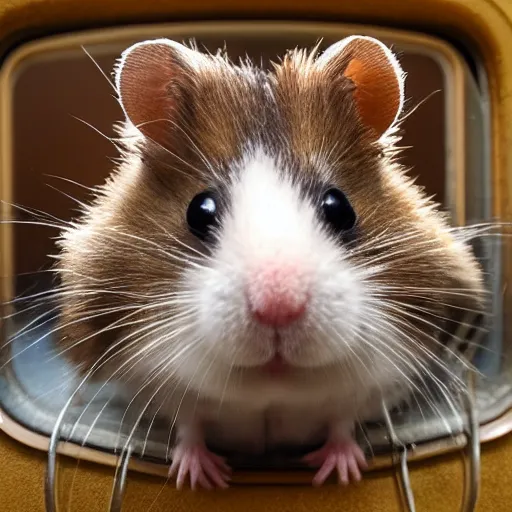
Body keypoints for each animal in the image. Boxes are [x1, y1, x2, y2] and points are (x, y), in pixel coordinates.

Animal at [54, 36, 486, 488]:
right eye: (199, 210)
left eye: (339, 207)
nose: (278, 308)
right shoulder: (166, 388)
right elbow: (190, 424)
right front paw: (202, 478)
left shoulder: (368, 387)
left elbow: (341, 422)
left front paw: (339, 473)